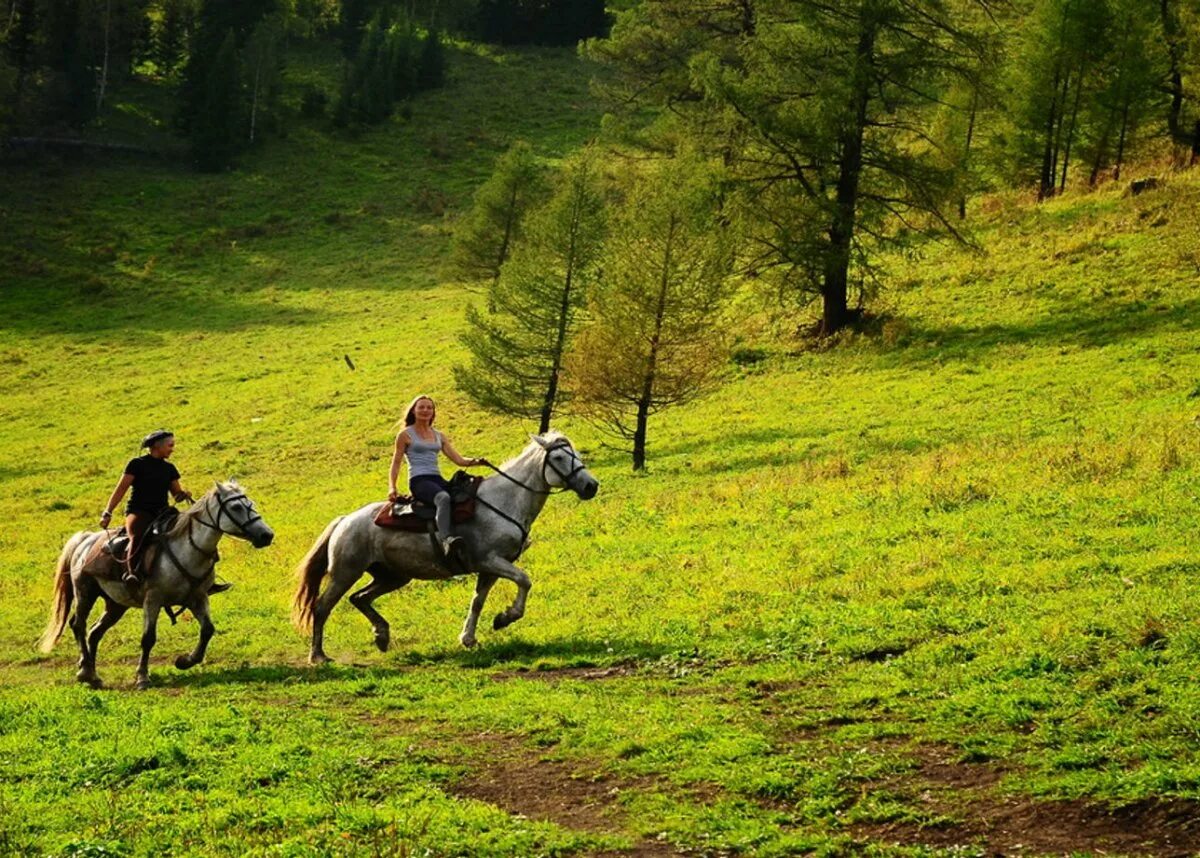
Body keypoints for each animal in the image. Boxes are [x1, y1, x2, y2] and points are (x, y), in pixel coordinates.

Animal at [37, 482, 276, 691]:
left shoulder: (198, 597)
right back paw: (86, 671)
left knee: (94, 632)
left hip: (115, 604)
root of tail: (84, 540)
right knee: (78, 625)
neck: (187, 549)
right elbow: (148, 638)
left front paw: (185, 661)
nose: (266, 535)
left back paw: (91, 674)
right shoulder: (153, 600)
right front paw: (142, 677)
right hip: (85, 592)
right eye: (236, 507)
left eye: (250, 504)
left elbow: (208, 630)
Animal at [294, 436, 600, 662]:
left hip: (393, 576)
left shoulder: (491, 568)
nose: (591, 486)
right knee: (322, 607)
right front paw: (505, 618)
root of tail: (345, 520)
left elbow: (477, 602)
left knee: (359, 598)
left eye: (576, 453)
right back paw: (318, 656)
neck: (503, 501)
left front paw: (470, 638)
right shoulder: (490, 560)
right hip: (345, 572)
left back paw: (381, 635)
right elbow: (525, 580)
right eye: (559, 458)